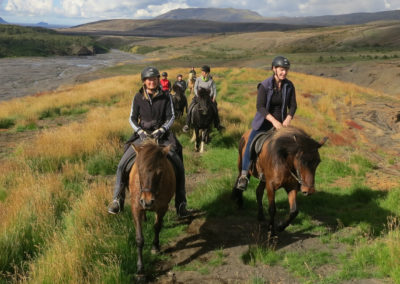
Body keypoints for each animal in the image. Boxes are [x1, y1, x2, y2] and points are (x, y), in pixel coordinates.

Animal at [130, 141, 177, 276]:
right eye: (139, 170)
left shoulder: (162, 208)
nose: (147, 201)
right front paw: (140, 270)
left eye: (160, 172)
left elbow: (157, 227)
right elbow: (139, 239)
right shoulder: (136, 208)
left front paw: (155, 247)